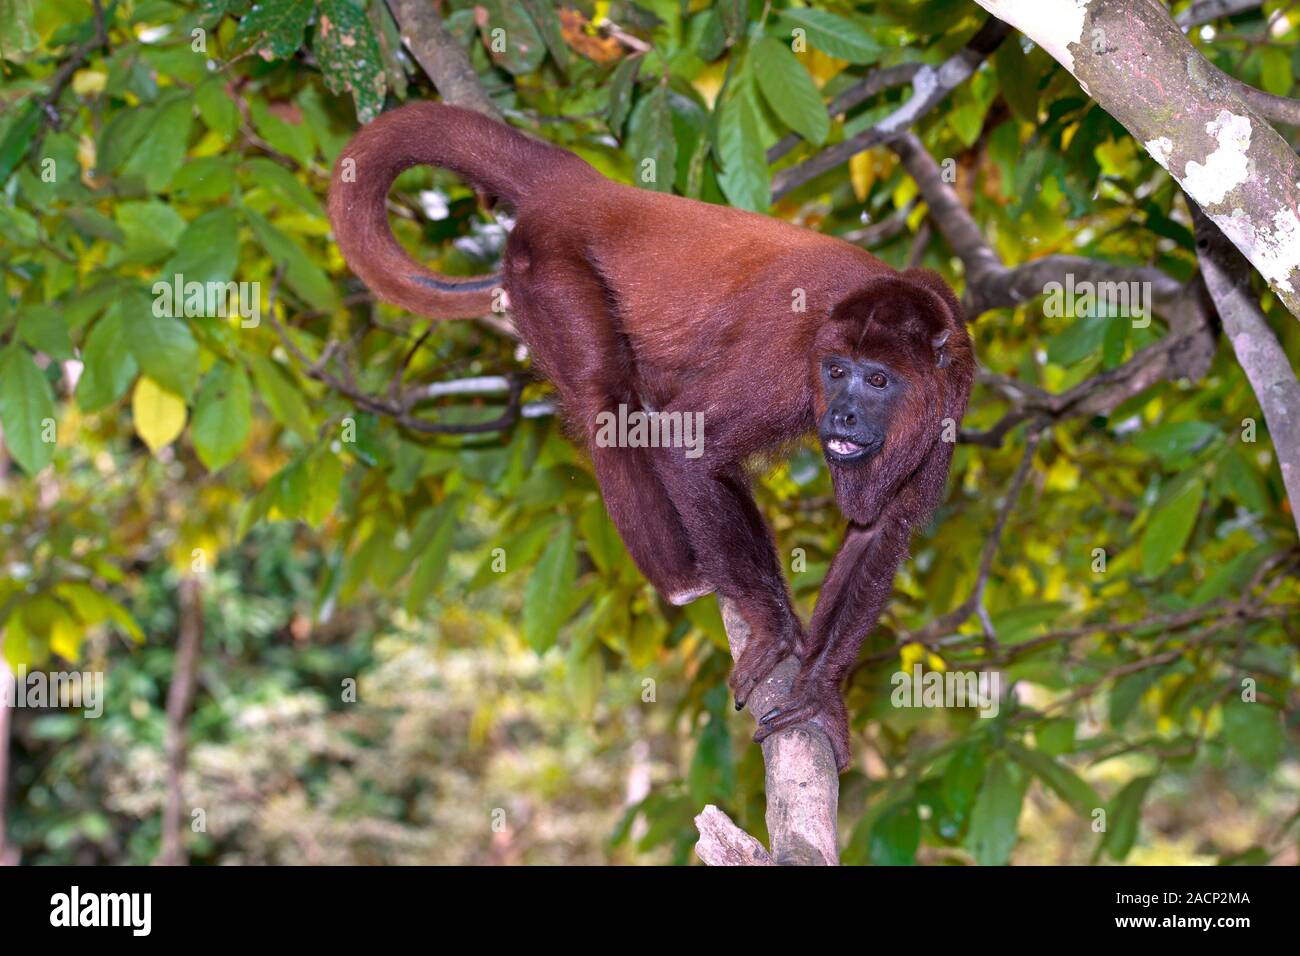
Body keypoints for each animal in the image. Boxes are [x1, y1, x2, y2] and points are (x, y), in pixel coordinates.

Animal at [328, 103, 975, 770]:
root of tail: (592, 190)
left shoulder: (954, 395)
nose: (842, 416)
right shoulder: (790, 363)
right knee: (605, 399)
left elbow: (878, 529)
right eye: (837, 372)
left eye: (877, 380)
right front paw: (773, 630)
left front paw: (821, 691)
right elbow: (687, 446)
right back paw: (684, 579)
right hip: (547, 268)